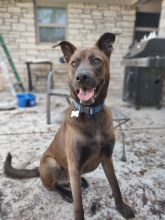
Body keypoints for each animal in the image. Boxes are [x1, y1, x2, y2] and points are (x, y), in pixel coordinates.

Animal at [4, 33, 135, 220]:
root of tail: (38, 169)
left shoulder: (107, 158)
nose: (82, 77)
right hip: (51, 163)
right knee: (53, 186)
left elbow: (115, 186)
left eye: (96, 60)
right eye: (74, 63)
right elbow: (78, 205)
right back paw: (65, 192)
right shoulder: (74, 165)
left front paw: (122, 208)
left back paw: (81, 182)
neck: (91, 115)